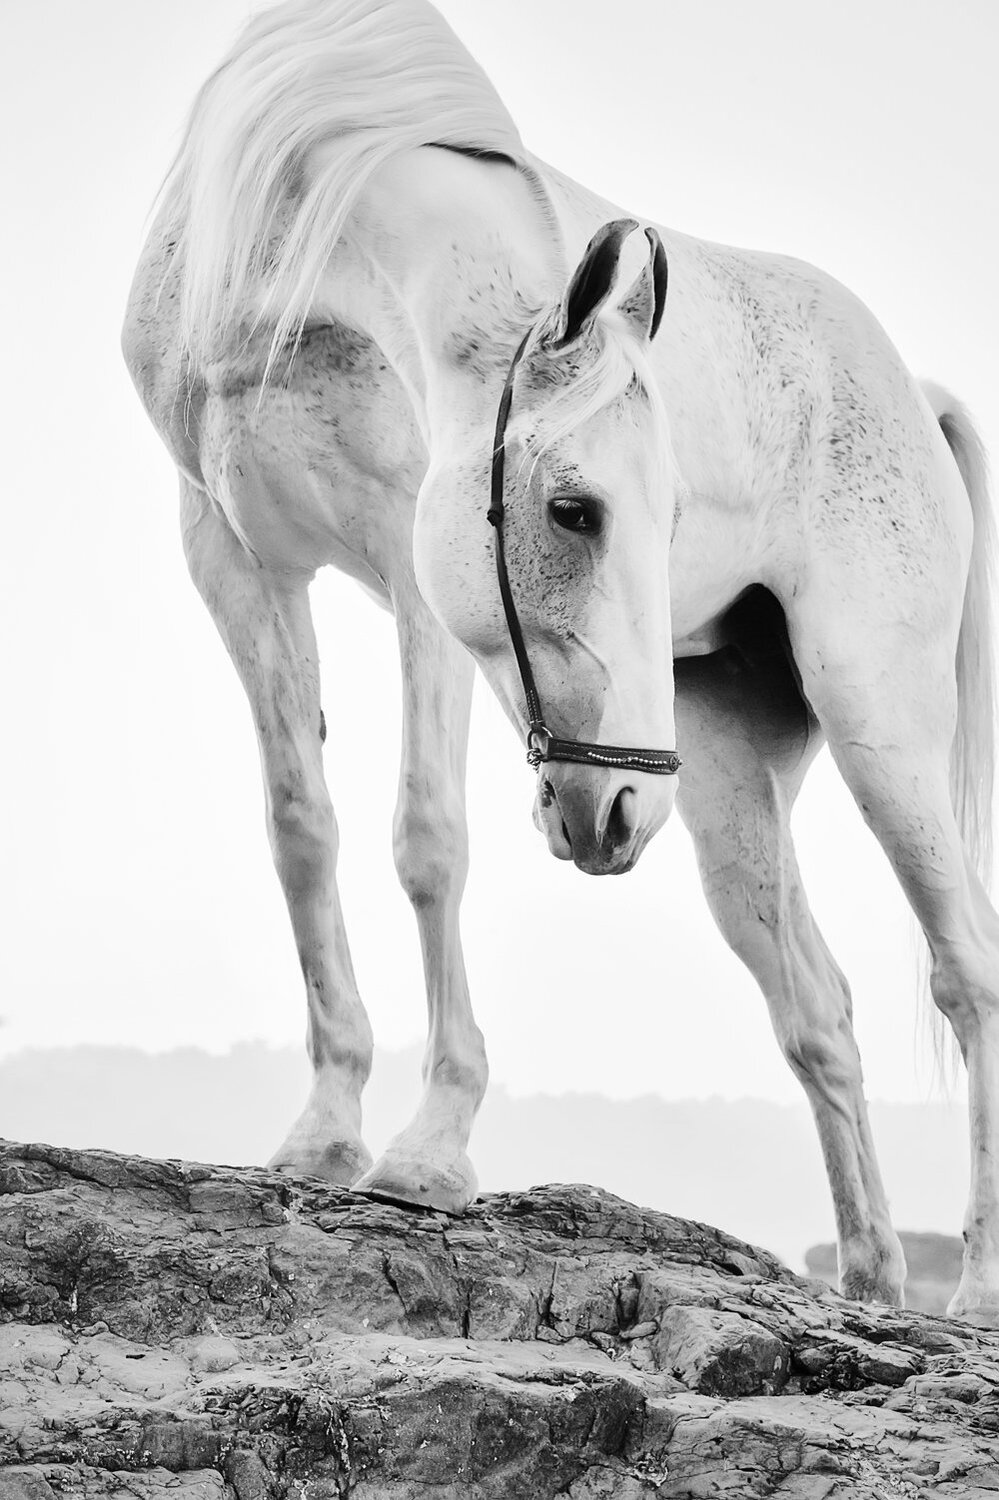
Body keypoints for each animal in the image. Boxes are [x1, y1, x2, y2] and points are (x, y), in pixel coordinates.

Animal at [122, 0, 999, 1326]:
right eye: (576, 511)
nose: (617, 805)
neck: (279, 264)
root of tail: (912, 389)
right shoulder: (234, 560)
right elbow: (301, 830)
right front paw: (324, 1131)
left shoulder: (412, 571)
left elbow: (428, 839)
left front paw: (429, 1150)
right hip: (732, 786)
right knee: (818, 1012)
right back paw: (871, 1282)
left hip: (881, 730)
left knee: (968, 973)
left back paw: (976, 1286)